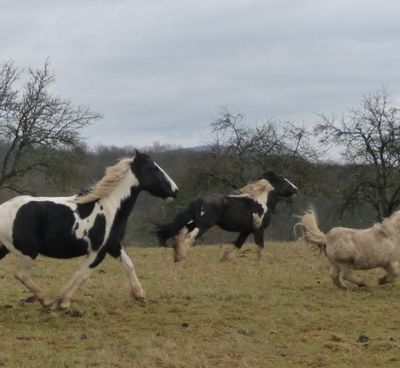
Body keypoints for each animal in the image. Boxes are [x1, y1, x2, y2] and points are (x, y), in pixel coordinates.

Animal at [0, 149, 178, 308]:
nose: (175, 190)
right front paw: (63, 302)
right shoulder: (98, 251)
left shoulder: (113, 245)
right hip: (28, 252)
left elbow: (128, 265)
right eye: (152, 168)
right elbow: (82, 274)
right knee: (21, 274)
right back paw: (48, 301)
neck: (111, 208)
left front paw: (140, 296)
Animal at [155, 172, 298, 262]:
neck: (260, 202)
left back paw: (177, 256)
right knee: (190, 237)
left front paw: (225, 258)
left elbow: (238, 244)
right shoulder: (258, 229)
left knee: (180, 235)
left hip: (192, 223)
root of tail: (199, 200)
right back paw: (181, 258)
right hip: (203, 225)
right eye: (283, 180)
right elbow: (260, 245)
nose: (296, 189)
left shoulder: (246, 230)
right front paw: (262, 261)